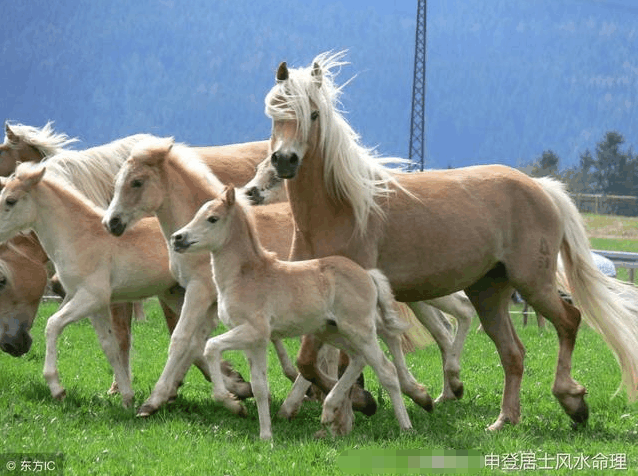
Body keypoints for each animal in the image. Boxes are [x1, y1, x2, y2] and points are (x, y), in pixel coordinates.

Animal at [172, 186, 418, 438]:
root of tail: (367, 274)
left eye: (212, 218)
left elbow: (211, 346)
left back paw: (406, 427)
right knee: (358, 360)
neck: (245, 276)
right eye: (197, 213)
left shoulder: (254, 331)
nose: (177, 238)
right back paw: (328, 410)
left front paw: (229, 400)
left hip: (360, 330)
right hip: (332, 332)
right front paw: (265, 436)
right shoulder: (254, 342)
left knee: (387, 370)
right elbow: (260, 387)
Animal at [262, 52, 638, 432]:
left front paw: (368, 403)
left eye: (313, 114)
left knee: (569, 321)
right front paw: (355, 407)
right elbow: (310, 361)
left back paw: (572, 400)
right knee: (513, 353)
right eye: (275, 112)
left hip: (533, 282)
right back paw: (504, 419)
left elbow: (338, 363)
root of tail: (541, 187)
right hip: (489, 292)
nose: (285, 160)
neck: (339, 208)